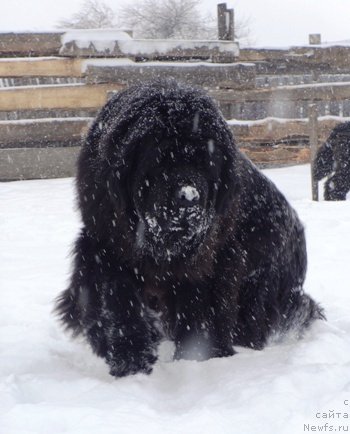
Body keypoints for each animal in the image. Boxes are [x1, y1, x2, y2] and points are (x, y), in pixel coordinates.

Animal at [55, 79, 326, 376]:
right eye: (160, 160)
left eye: (207, 163)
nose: (188, 197)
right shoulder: (105, 246)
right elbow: (117, 302)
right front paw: (130, 360)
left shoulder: (211, 261)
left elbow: (202, 309)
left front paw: (199, 358)